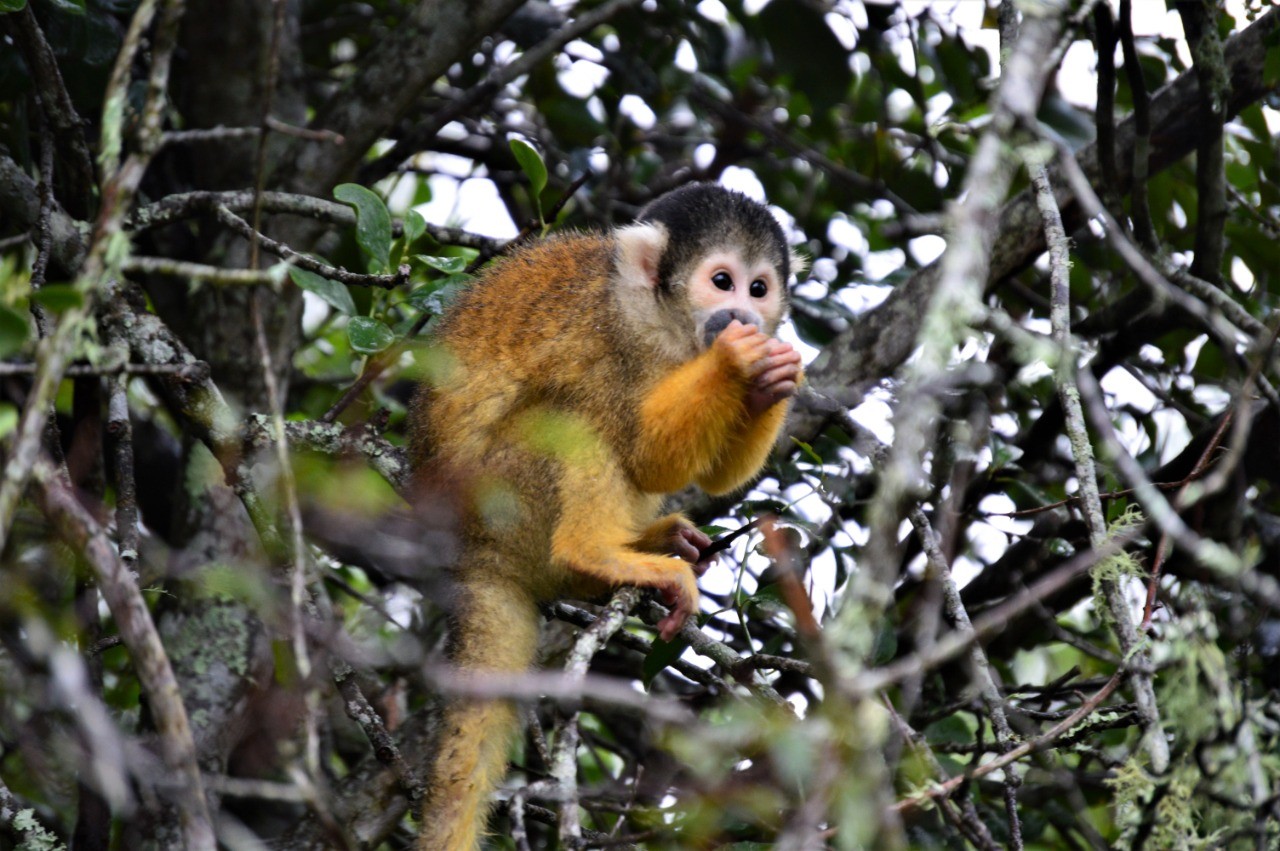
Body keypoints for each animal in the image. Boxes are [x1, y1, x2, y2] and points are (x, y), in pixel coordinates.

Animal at [408, 182, 804, 850]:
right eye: (722, 281)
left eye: (759, 288)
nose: (745, 318)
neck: (667, 324)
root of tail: (472, 553)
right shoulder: (614, 338)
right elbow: (646, 455)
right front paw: (734, 363)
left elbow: (705, 475)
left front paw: (772, 374)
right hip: (502, 501)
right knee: (576, 414)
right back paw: (594, 555)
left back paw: (651, 543)